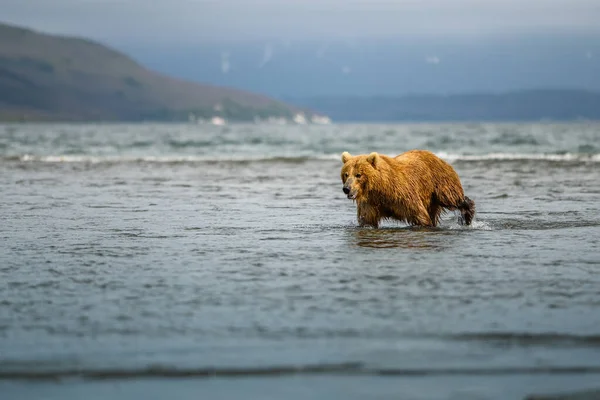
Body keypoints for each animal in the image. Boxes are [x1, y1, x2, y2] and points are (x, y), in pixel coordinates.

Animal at [340, 150, 476, 228]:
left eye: (358, 174)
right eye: (346, 174)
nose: (346, 188)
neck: (381, 188)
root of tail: (436, 156)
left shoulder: (403, 196)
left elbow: (420, 216)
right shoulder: (370, 203)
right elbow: (367, 220)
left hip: (439, 183)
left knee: (452, 198)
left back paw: (467, 215)